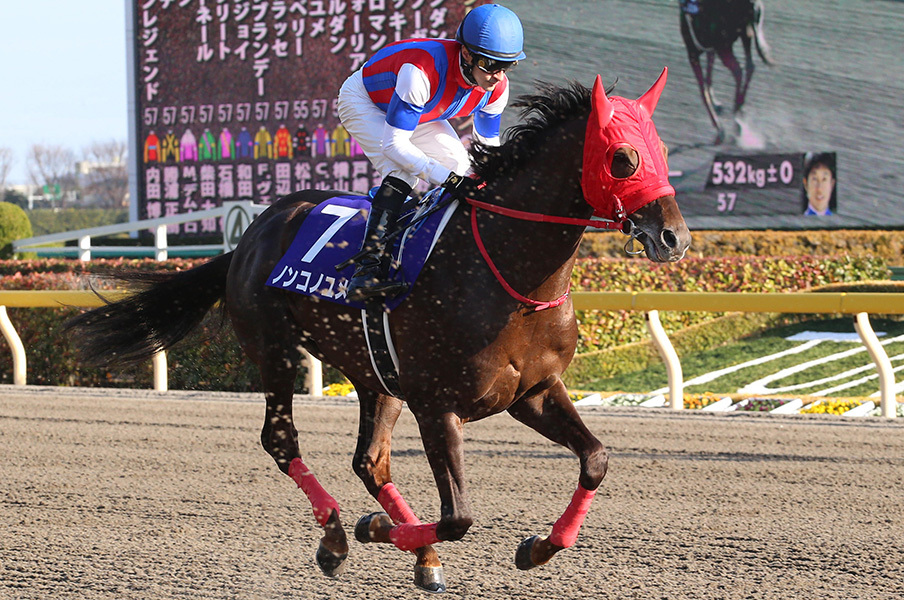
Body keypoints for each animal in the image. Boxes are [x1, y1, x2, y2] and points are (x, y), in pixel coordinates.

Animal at [67, 70, 692, 592]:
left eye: (661, 152)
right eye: (623, 158)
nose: (675, 238)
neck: (508, 273)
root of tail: (251, 235)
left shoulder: (533, 391)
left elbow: (596, 459)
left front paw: (538, 547)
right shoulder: (438, 405)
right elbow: (459, 516)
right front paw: (371, 530)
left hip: (376, 375)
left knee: (370, 461)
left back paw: (420, 558)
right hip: (274, 349)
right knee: (282, 441)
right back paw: (339, 537)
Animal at [680, 0, 772, 141]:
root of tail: (752, 4)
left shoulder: (693, 51)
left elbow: (703, 90)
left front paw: (718, 127)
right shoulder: (709, 46)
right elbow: (708, 75)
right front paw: (717, 104)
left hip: (724, 47)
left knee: (738, 70)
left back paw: (736, 121)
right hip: (746, 35)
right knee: (749, 67)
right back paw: (739, 111)